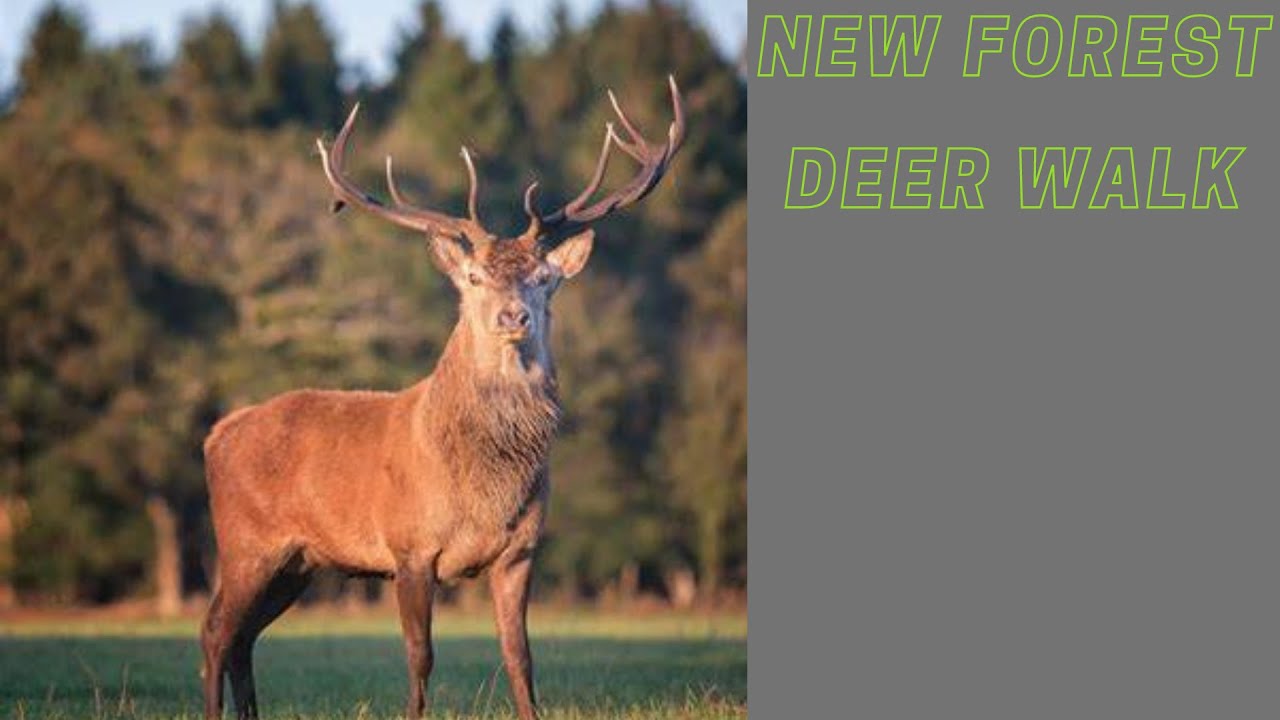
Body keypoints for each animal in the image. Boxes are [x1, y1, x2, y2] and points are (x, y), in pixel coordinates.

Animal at [198, 76, 684, 720]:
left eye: (543, 278)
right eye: (475, 277)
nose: (513, 315)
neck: (482, 484)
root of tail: (216, 433)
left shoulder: (520, 553)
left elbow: (519, 657)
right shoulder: (409, 547)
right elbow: (419, 657)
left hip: (296, 562)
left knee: (243, 637)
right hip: (245, 542)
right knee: (215, 631)